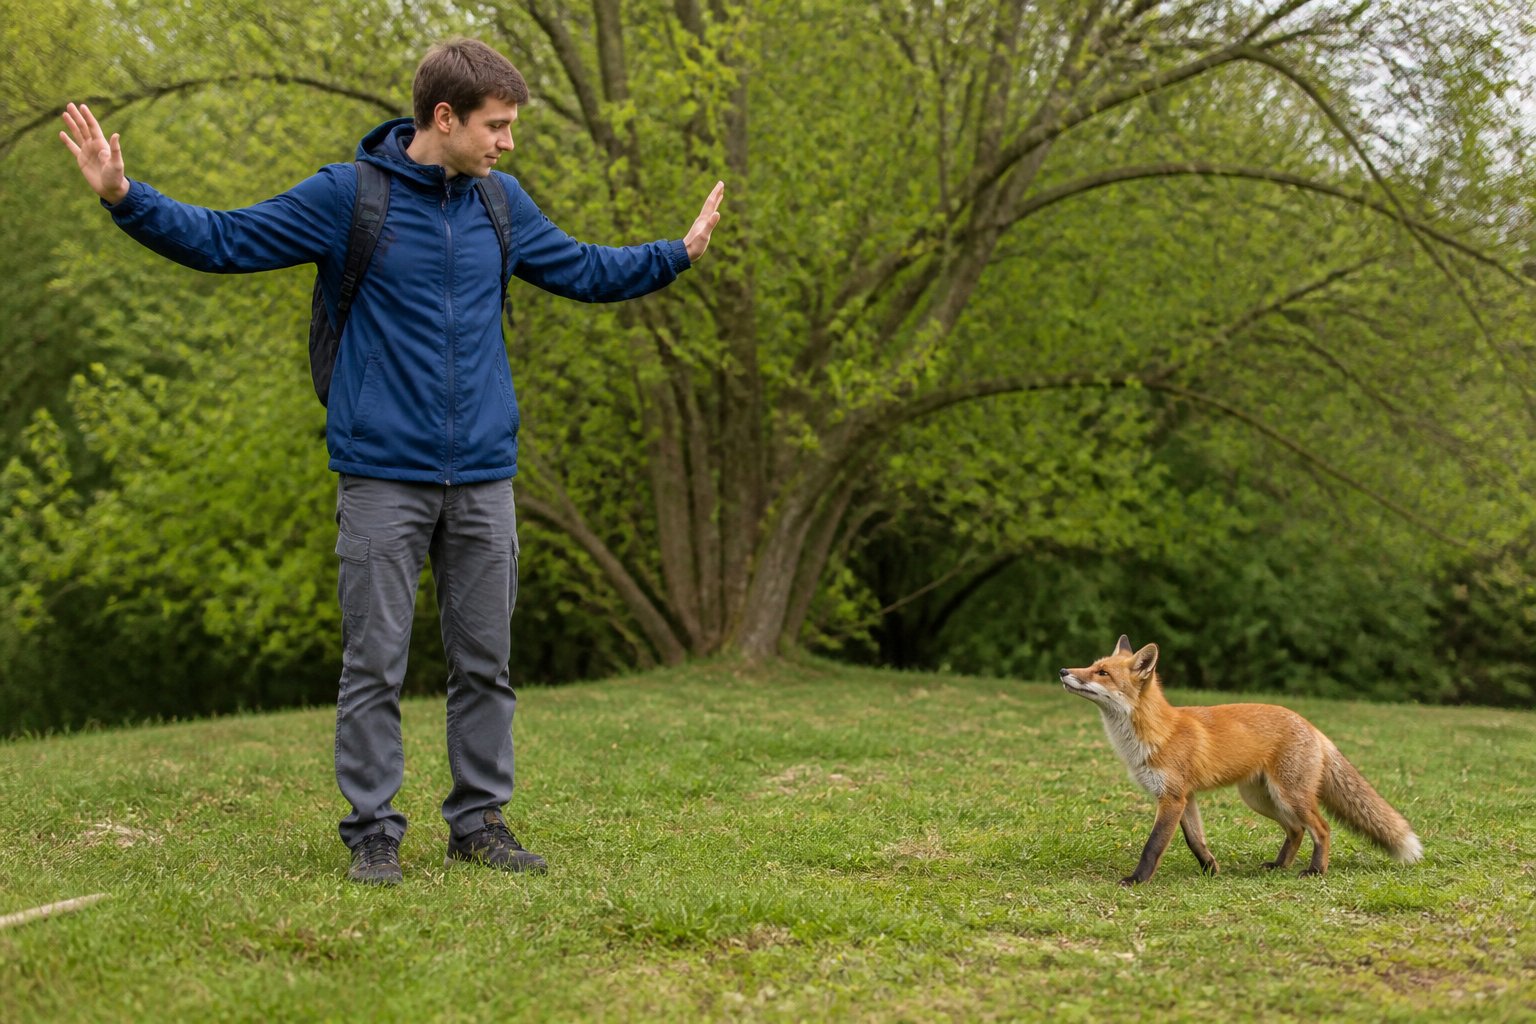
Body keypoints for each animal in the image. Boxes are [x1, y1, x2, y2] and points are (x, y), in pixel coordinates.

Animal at [1060, 636, 1423, 886]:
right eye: (1092, 665)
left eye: (1102, 672)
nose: (1063, 670)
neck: (1157, 733)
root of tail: (1311, 725)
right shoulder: (1185, 797)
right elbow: (1195, 841)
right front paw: (1210, 869)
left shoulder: (1172, 798)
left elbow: (1153, 845)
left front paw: (1137, 880)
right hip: (1261, 799)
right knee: (1295, 830)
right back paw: (1279, 866)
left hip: (1290, 796)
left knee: (1321, 828)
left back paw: (1315, 870)